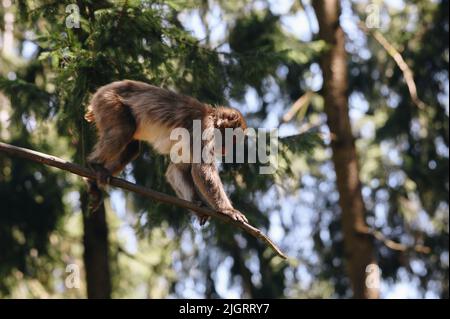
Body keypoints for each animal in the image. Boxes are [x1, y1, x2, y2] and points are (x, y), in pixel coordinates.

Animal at [84, 79, 246, 225]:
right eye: (232, 139)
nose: (227, 149)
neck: (212, 117)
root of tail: (105, 88)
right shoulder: (205, 129)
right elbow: (202, 169)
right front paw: (227, 210)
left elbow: (176, 170)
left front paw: (197, 206)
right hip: (108, 101)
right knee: (123, 131)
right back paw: (94, 164)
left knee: (132, 148)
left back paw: (94, 182)